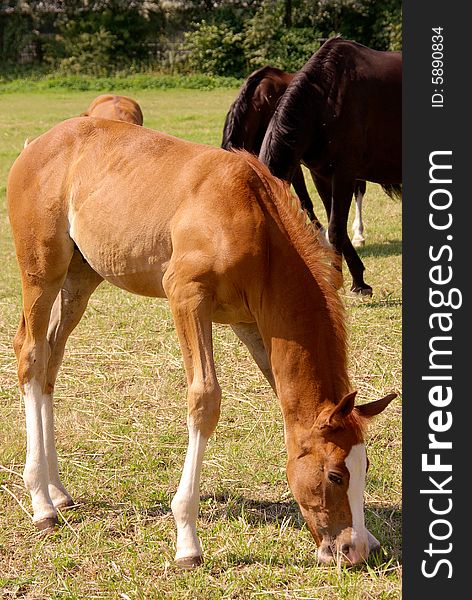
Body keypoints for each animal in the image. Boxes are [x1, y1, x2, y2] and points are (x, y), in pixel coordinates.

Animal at [6, 117, 394, 568]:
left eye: (365, 467)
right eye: (335, 474)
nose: (357, 549)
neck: (256, 221)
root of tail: (36, 145)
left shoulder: (250, 324)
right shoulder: (186, 296)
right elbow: (205, 399)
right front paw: (187, 540)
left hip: (80, 278)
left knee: (51, 360)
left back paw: (58, 490)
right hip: (42, 272)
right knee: (31, 354)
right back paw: (41, 502)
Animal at [258, 36, 402, 294]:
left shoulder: (345, 172)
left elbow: (335, 228)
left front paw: (335, 282)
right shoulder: (321, 174)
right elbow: (335, 225)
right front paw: (358, 280)